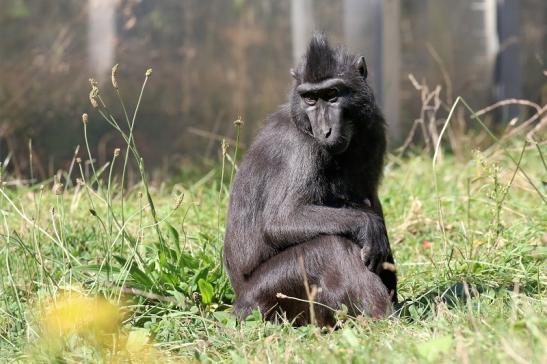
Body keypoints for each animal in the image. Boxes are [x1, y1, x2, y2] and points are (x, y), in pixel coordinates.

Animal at [225, 33, 396, 324]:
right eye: (310, 99)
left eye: (332, 95)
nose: (324, 131)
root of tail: (239, 301)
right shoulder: (302, 146)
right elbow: (281, 220)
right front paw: (368, 226)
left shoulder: (374, 129)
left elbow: (369, 200)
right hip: (268, 293)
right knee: (330, 246)